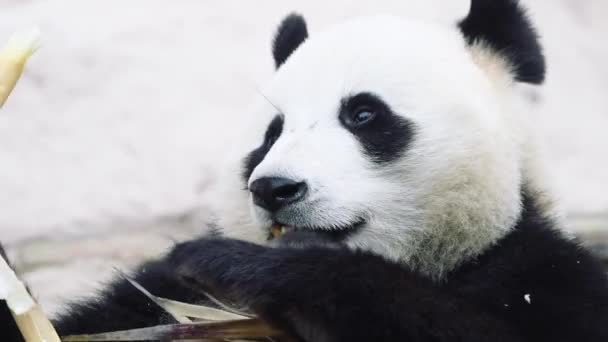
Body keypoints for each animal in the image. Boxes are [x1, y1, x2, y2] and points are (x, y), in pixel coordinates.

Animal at [2, 0, 604, 340]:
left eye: (363, 115)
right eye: (272, 133)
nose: (274, 189)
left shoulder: (538, 271)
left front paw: (242, 264)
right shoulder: (150, 297)